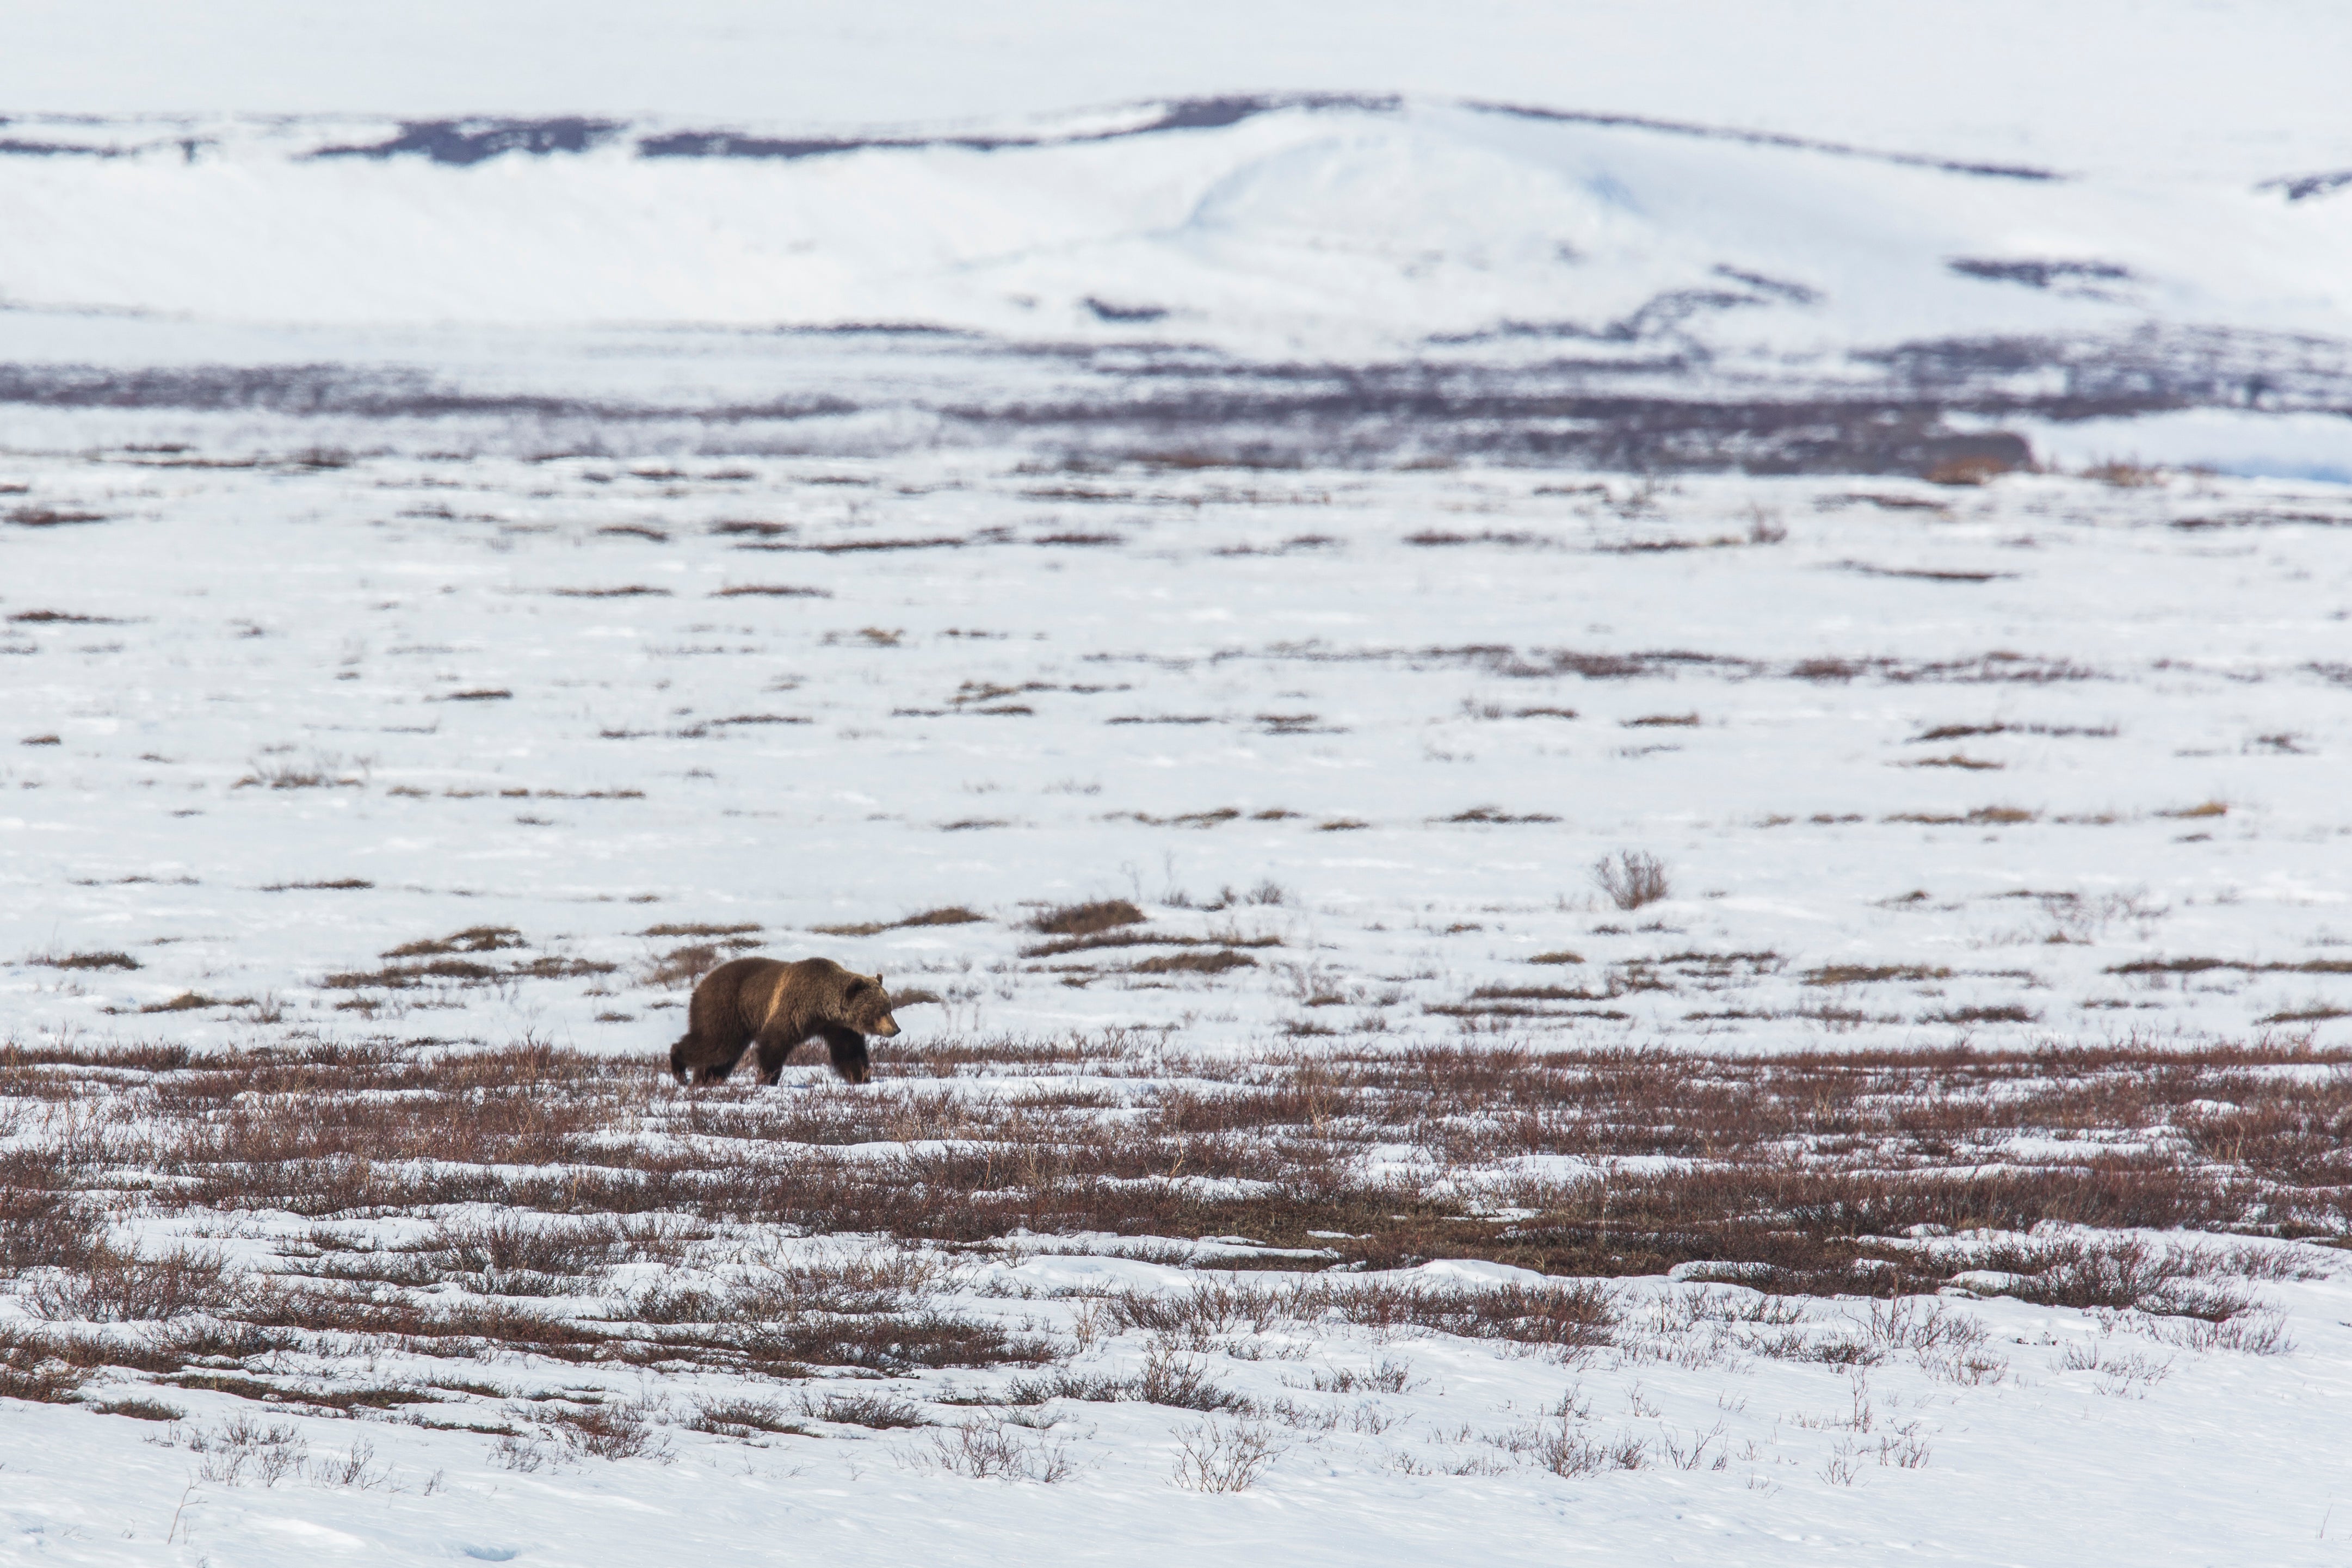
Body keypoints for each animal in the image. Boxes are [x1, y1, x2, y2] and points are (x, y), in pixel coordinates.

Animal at [677, 959, 903, 1090]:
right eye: (881, 1010)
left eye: (889, 1007)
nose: (896, 1029)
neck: (822, 1007)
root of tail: (701, 983)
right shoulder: (793, 1010)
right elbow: (774, 1044)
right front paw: (767, 1080)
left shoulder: (837, 1027)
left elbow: (849, 1053)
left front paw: (862, 1078)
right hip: (725, 1009)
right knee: (716, 1045)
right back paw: (679, 1069)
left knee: (722, 1057)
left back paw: (703, 1080)